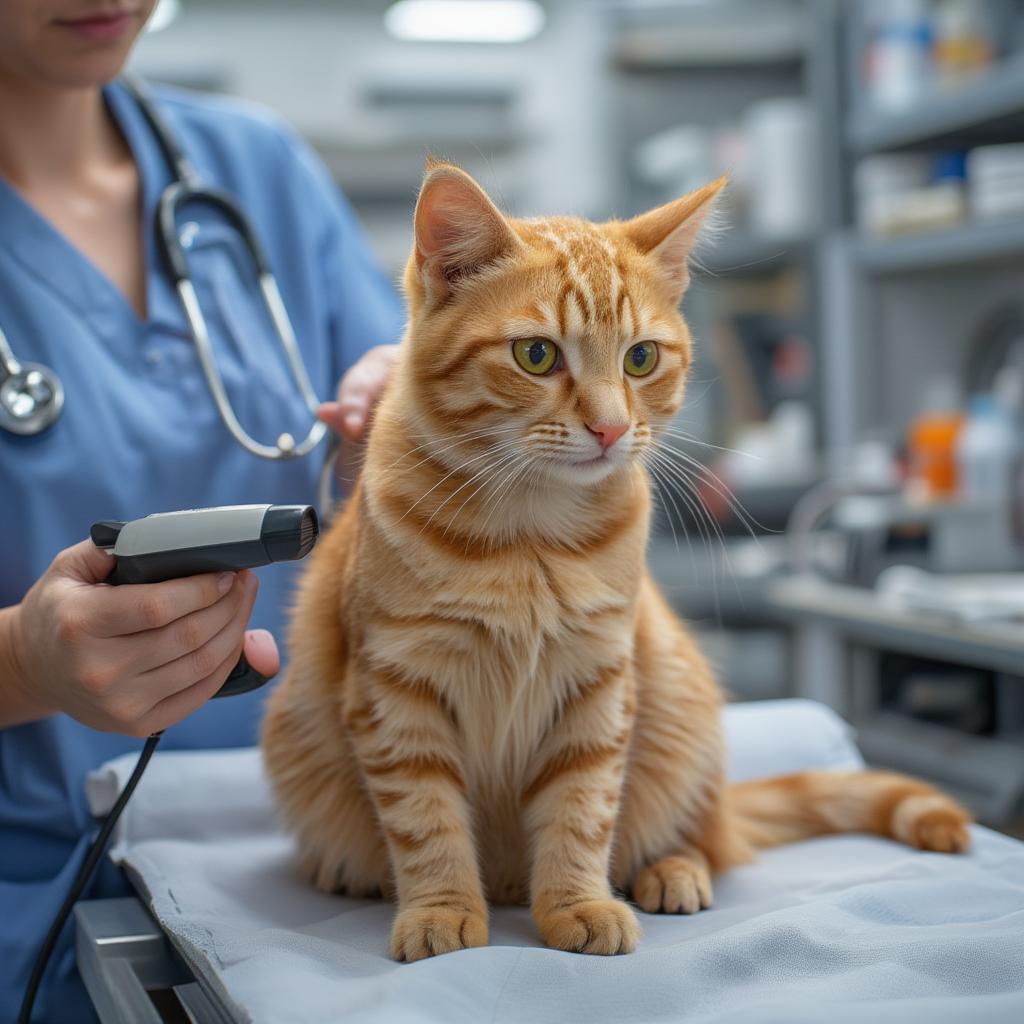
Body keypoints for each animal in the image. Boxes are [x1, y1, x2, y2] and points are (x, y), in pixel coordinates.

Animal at [262, 163, 966, 962]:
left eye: (641, 358)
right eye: (537, 355)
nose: (610, 428)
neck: (528, 540)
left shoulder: (598, 683)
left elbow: (582, 808)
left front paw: (577, 902)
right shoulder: (394, 687)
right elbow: (425, 817)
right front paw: (441, 908)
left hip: (680, 706)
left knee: (708, 839)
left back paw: (671, 871)